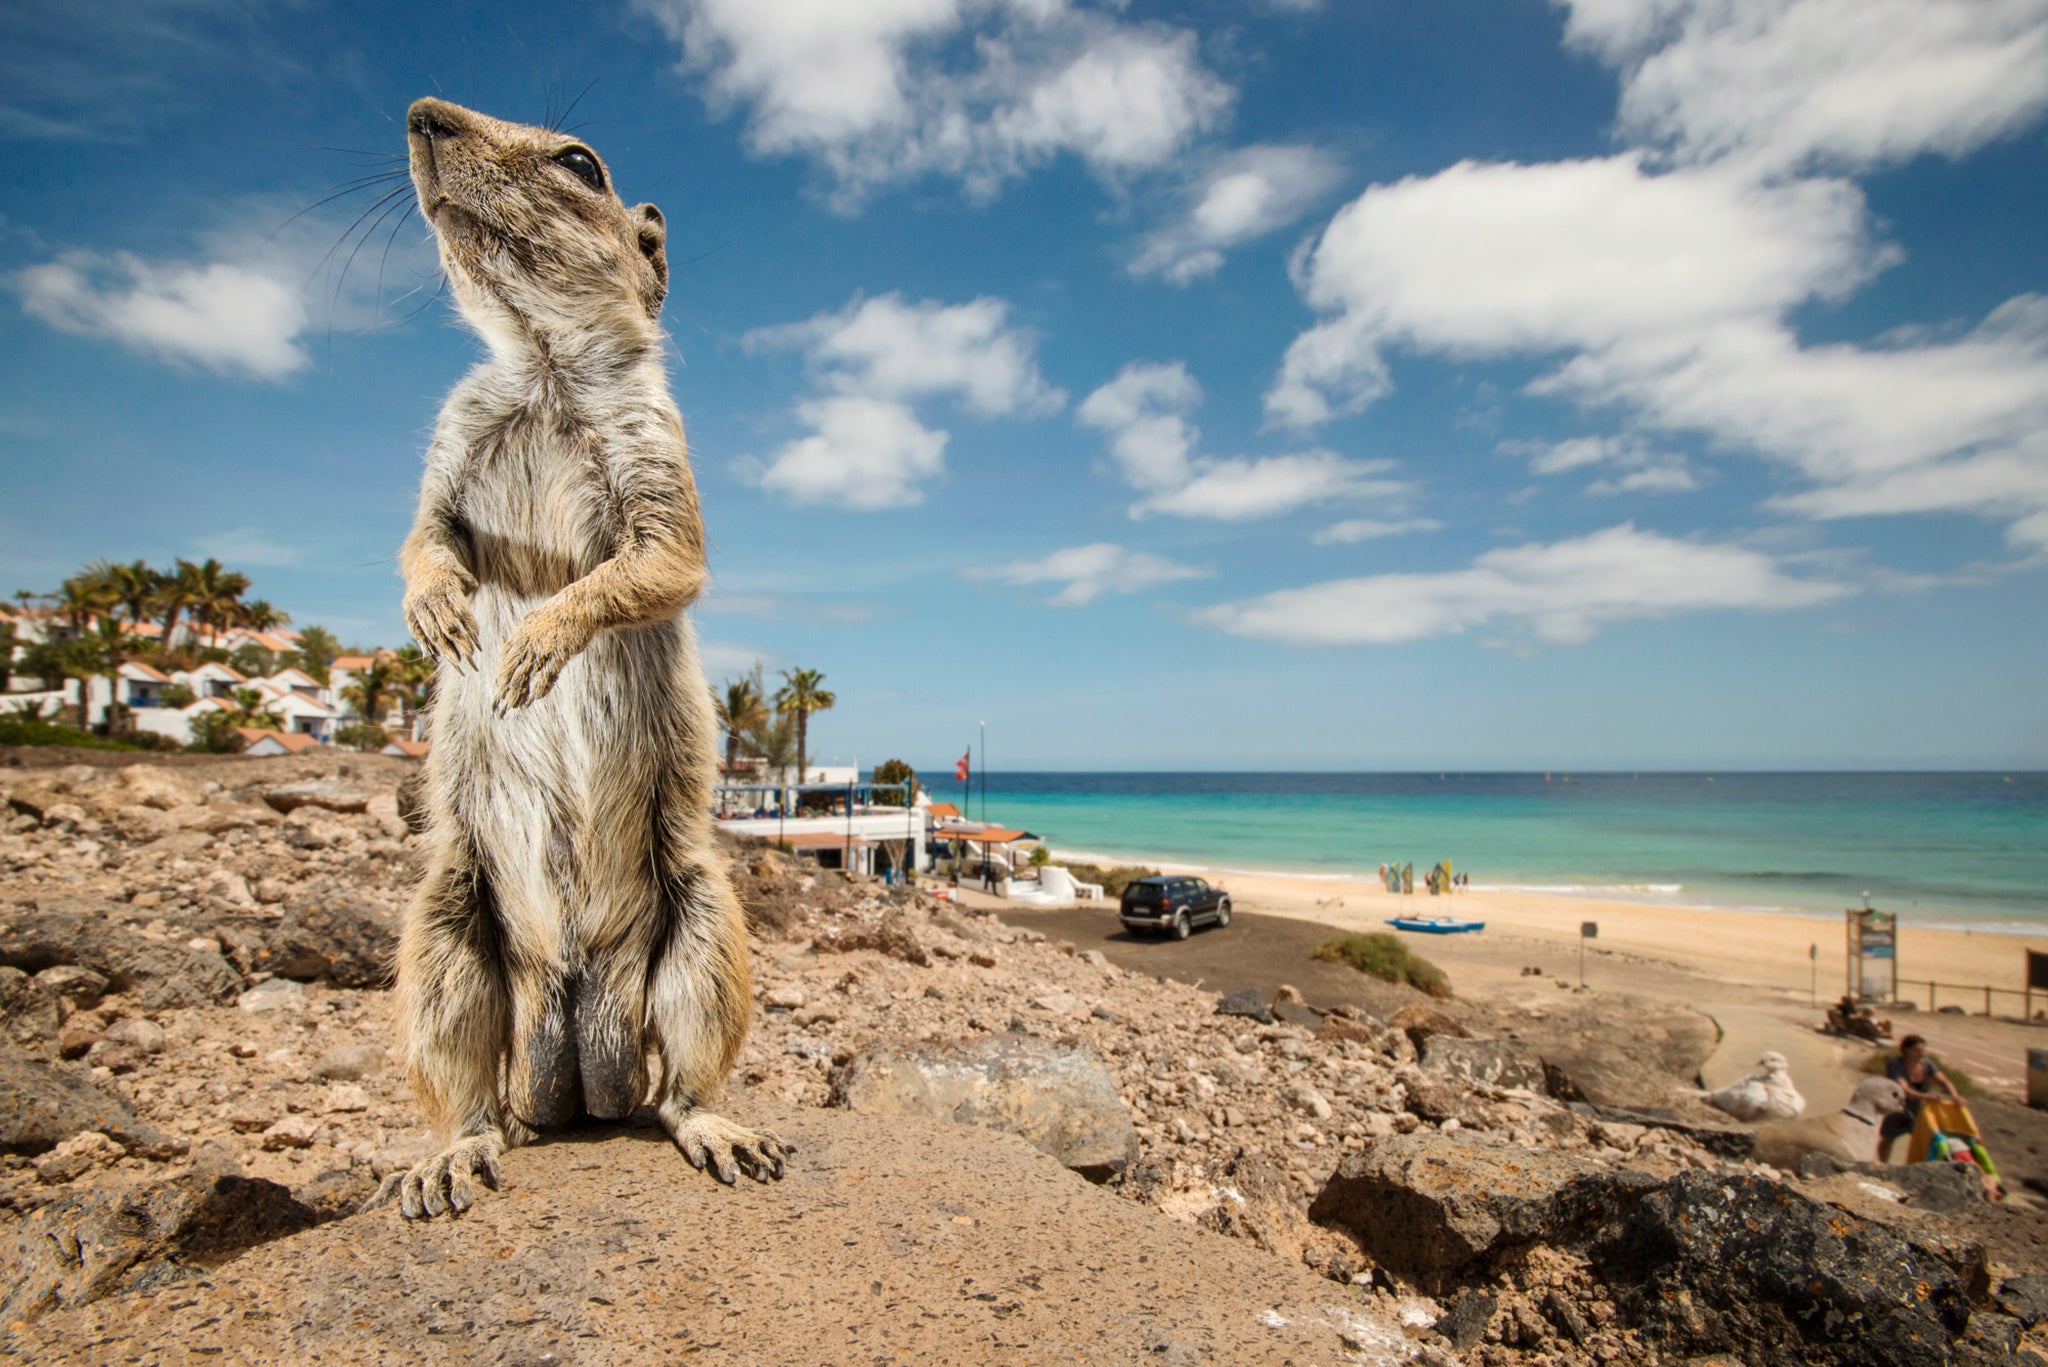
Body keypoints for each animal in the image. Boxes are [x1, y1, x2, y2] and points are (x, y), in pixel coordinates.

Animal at [367, 97, 787, 1219]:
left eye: (580, 163)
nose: (422, 114)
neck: (546, 366)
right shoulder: (447, 440)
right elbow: (421, 535)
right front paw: (441, 614)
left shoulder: (655, 449)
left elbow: (657, 563)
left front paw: (531, 644)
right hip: (443, 931)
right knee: (468, 1090)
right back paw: (452, 1153)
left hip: (703, 924)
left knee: (683, 1081)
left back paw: (718, 1129)